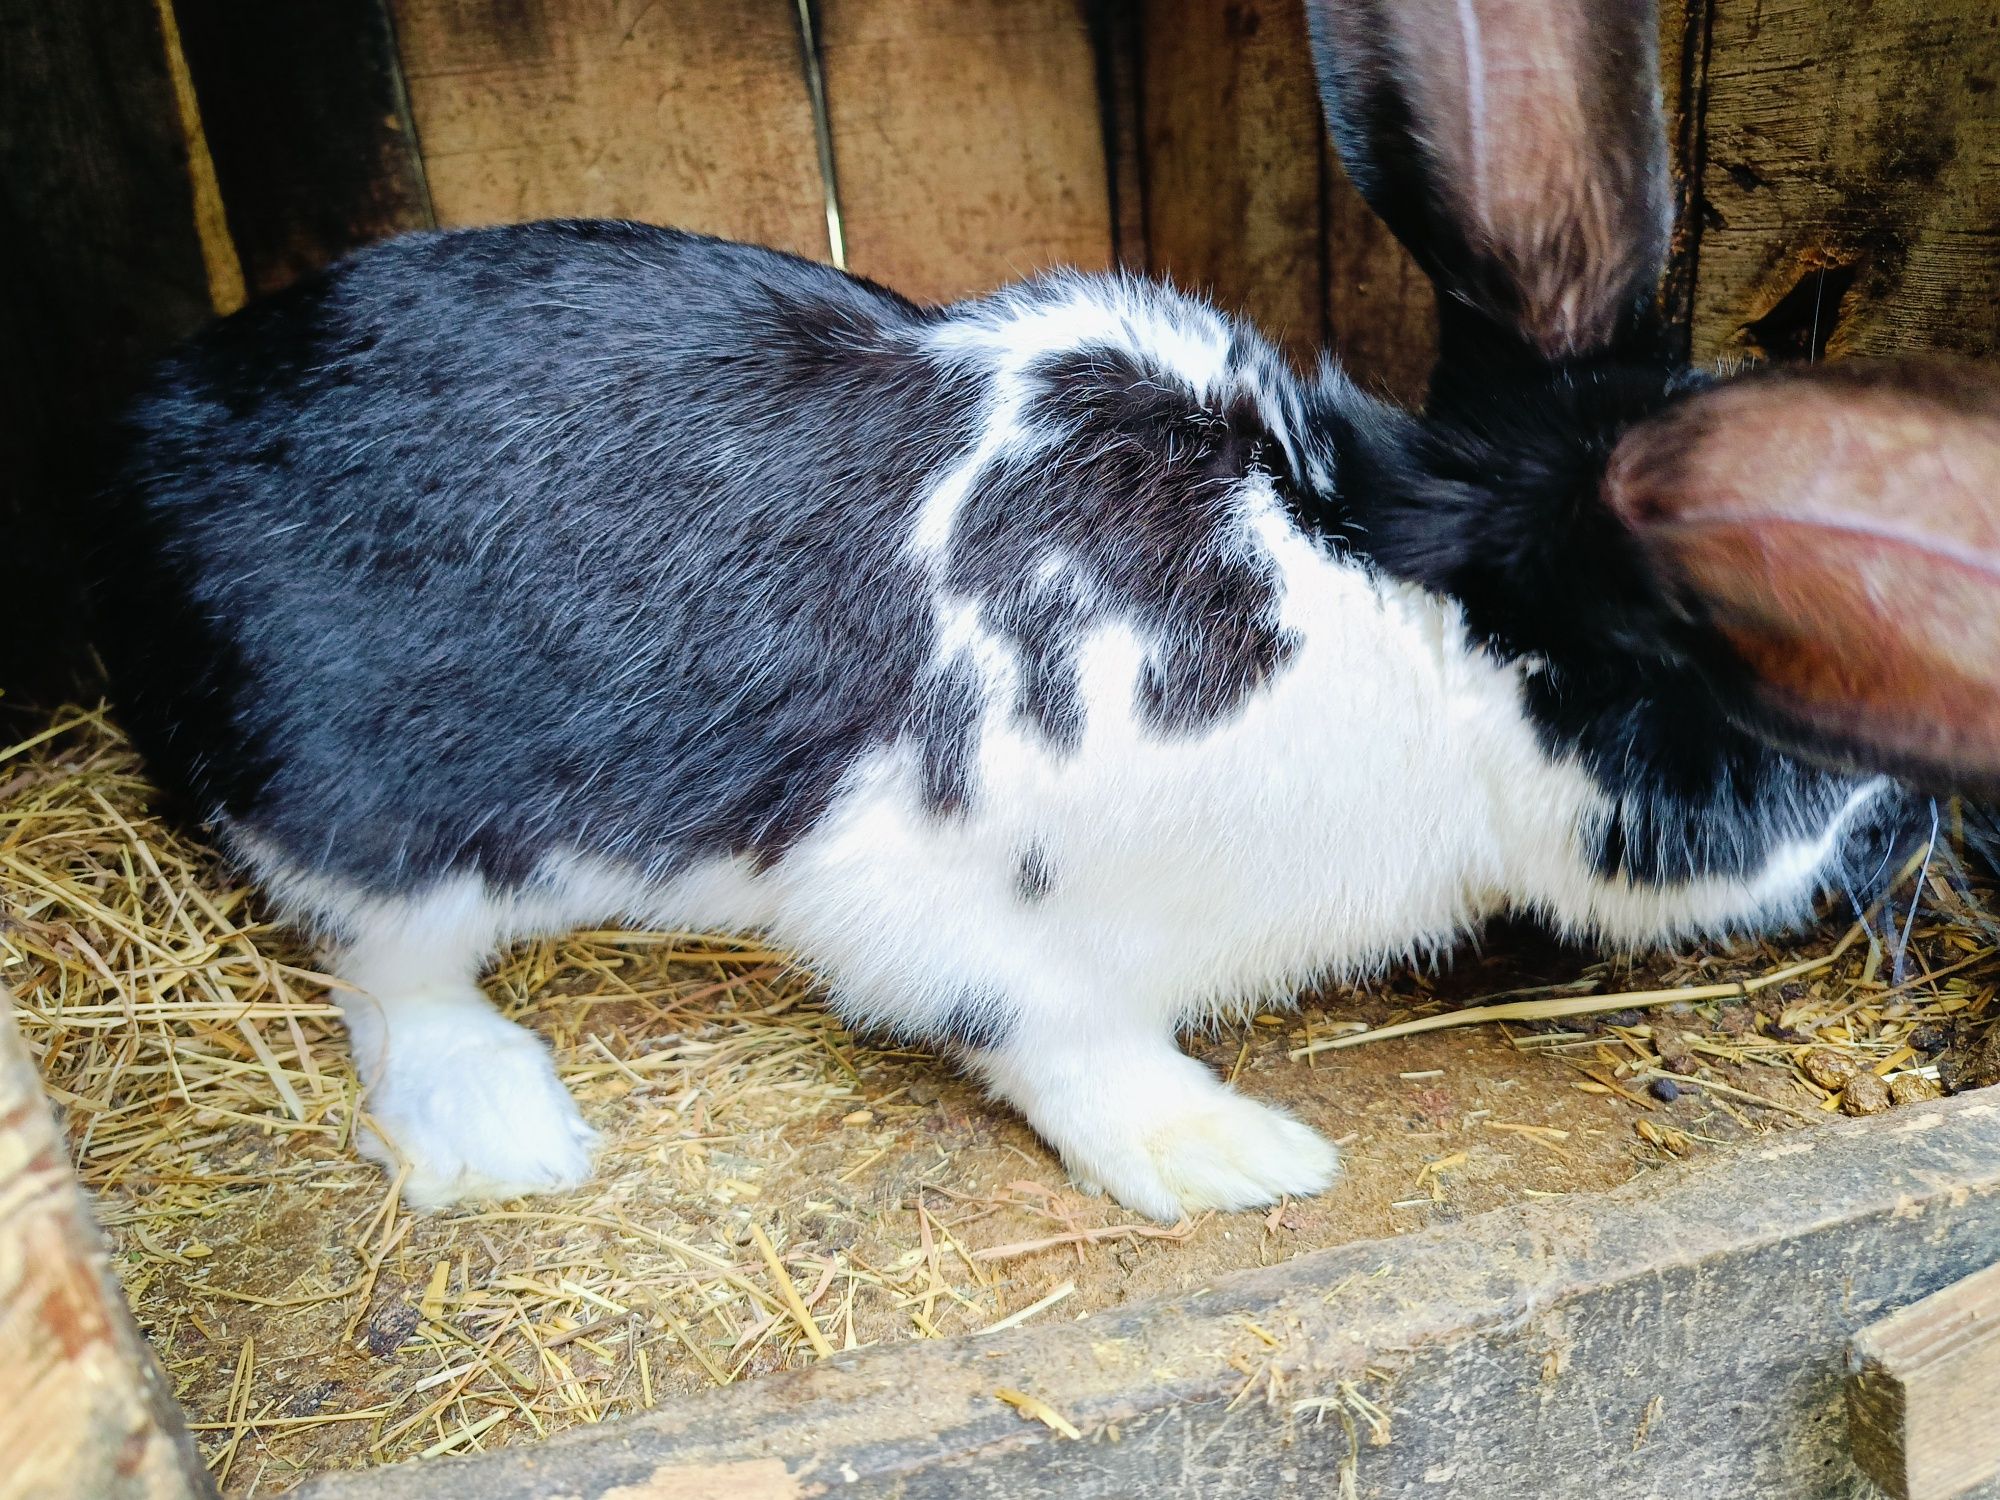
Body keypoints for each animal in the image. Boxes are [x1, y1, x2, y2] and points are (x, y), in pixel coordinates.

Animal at [94, 0, 1920, 1224]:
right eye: (1744, 641)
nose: (1896, 813)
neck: (1382, 608)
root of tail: (144, 445)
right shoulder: (972, 901)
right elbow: (1063, 1040)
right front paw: (1227, 1156)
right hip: (377, 813)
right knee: (385, 969)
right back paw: (501, 1134)